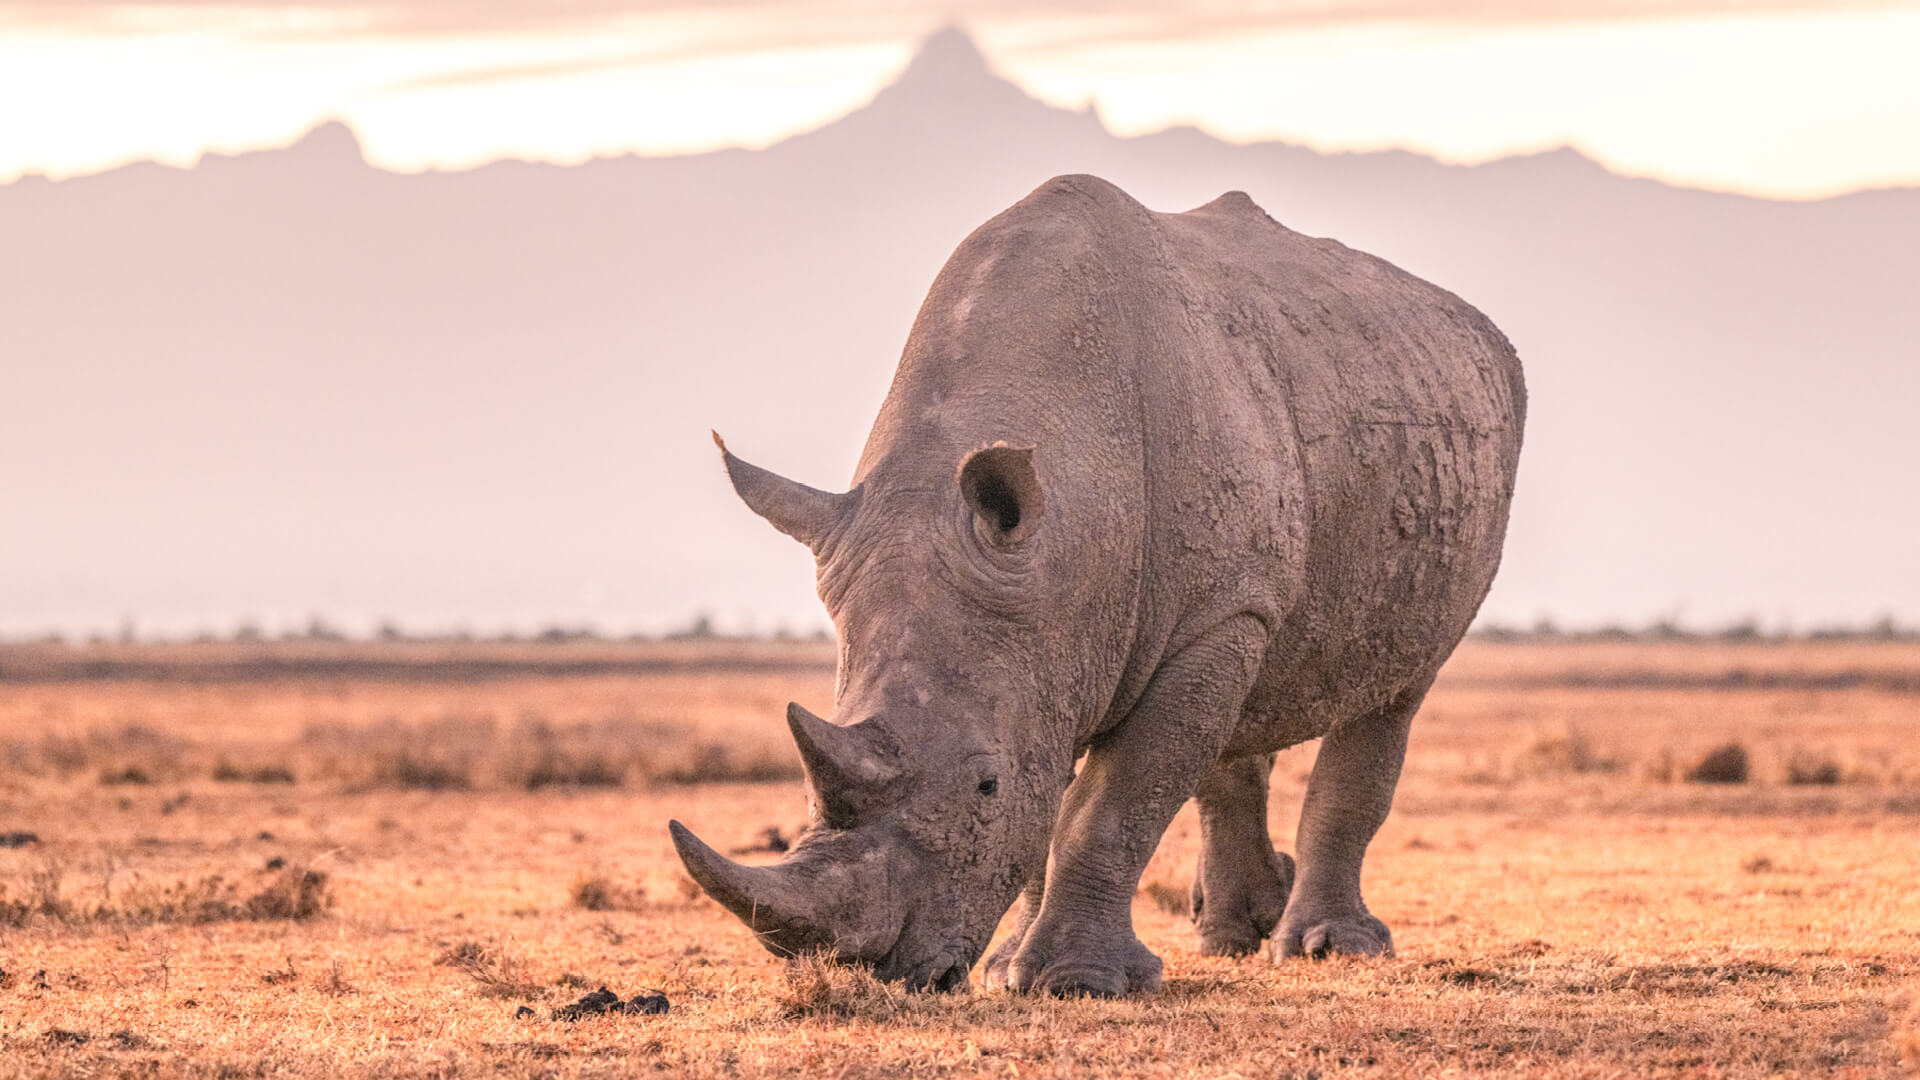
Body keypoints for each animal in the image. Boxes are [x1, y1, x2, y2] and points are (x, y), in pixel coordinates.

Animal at [670, 174, 1525, 997]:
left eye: (985, 786)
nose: (874, 970)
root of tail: (1476, 327)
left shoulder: (1207, 617)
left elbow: (1111, 803)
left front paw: (1074, 983)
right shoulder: (1058, 626)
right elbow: (1057, 803)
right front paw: (1005, 969)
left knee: (1396, 687)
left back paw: (1326, 949)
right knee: (1241, 712)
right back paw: (1231, 937)